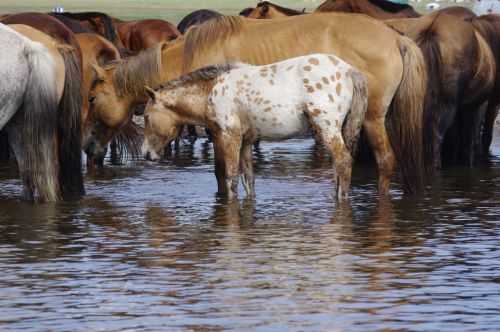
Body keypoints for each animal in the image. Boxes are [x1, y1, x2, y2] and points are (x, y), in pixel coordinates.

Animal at [85, 15, 426, 196]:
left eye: (91, 98)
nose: (87, 148)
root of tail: (396, 38)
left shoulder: (221, 131)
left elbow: (223, 172)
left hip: (371, 119)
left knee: (383, 161)